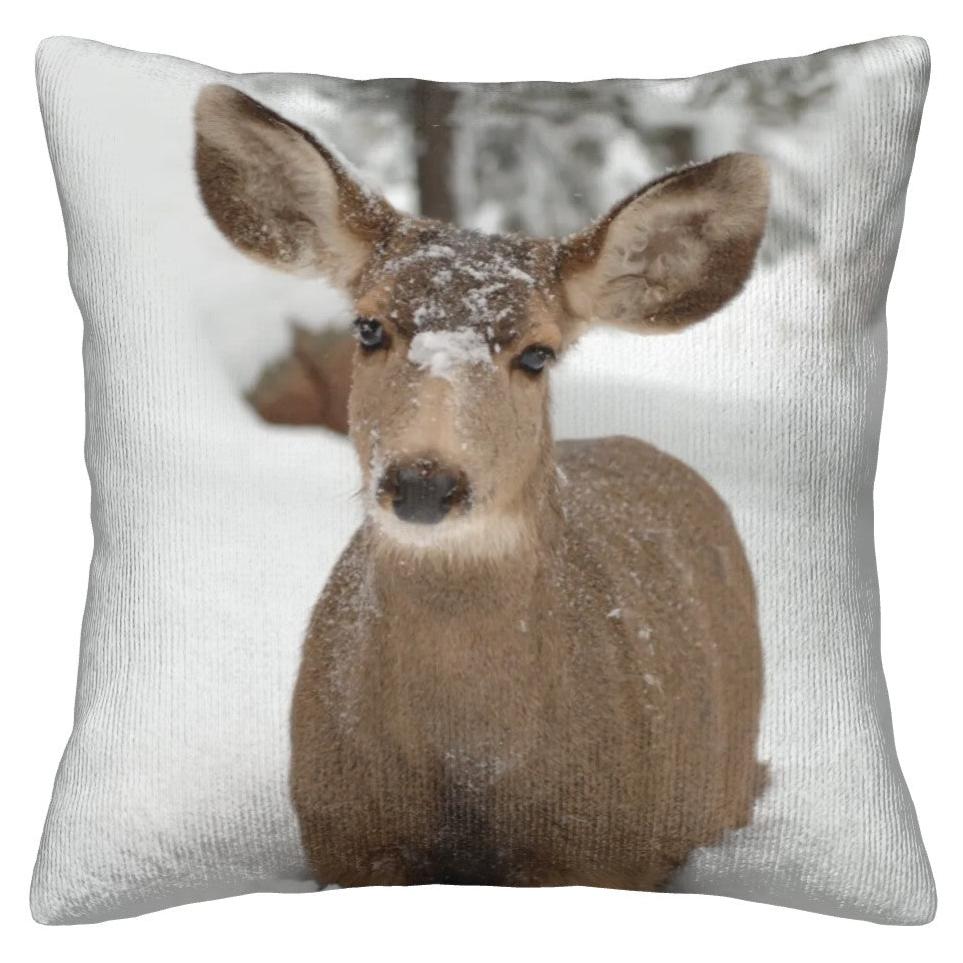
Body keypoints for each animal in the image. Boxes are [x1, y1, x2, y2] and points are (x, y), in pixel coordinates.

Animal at [194, 84, 768, 890]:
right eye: (368, 327)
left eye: (536, 354)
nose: (424, 481)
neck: (468, 763)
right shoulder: (347, 838)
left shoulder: (598, 850)